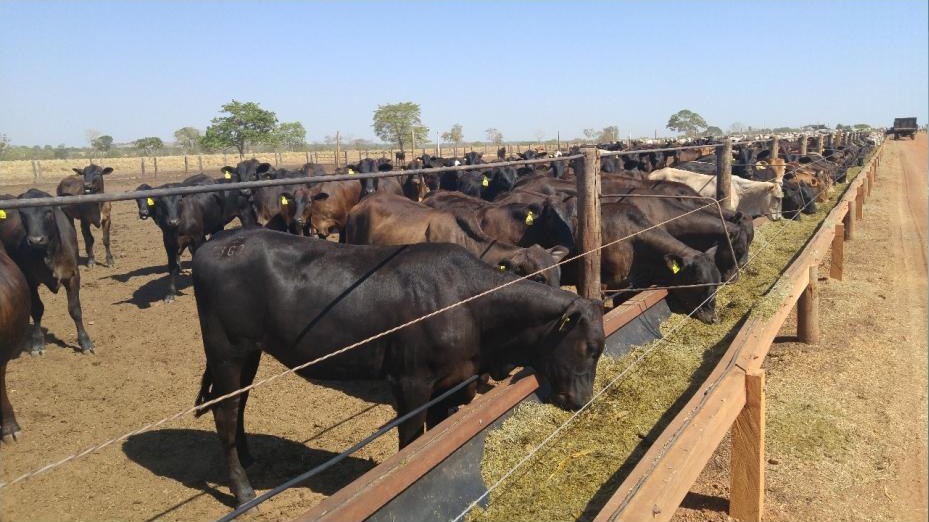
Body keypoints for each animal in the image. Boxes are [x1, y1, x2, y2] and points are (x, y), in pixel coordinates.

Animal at [0, 189, 94, 352]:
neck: (49, 253)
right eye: (22, 213)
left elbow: (75, 309)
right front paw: (37, 341)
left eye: (48, 211)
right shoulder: (29, 280)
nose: (36, 240)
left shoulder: (72, 275)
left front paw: (85, 341)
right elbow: (37, 309)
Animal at [192, 229, 604, 504]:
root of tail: (217, 242)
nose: (583, 401)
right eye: (588, 348)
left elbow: (436, 431)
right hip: (227, 349)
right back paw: (243, 491)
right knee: (224, 412)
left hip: (248, 353)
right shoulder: (410, 381)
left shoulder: (447, 382)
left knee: (238, 404)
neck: (468, 303)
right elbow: (410, 438)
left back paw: (248, 457)